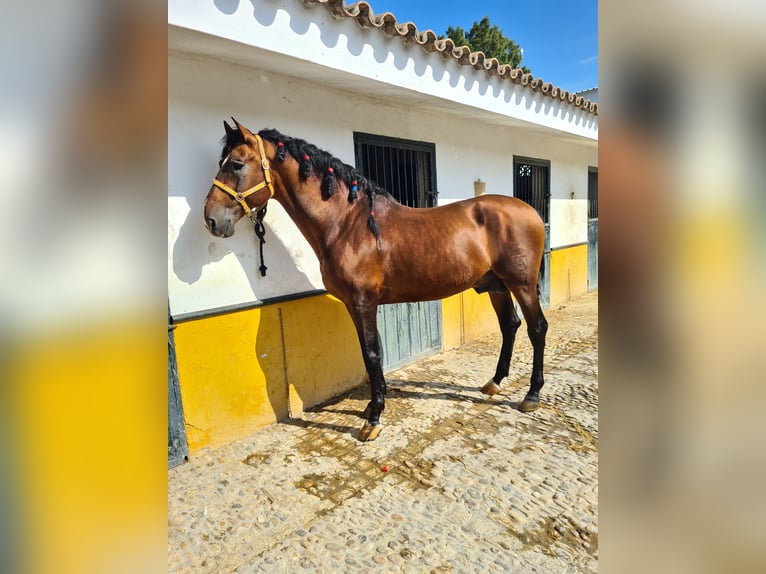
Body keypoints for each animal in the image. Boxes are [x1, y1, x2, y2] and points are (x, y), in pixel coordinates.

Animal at [204, 120, 548, 446]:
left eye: (236, 164)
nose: (211, 219)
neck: (347, 224)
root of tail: (529, 211)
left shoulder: (363, 301)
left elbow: (372, 354)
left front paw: (373, 419)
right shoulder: (353, 305)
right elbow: (365, 353)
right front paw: (371, 407)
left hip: (522, 284)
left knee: (537, 328)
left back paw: (531, 395)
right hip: (497, 285)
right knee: (510, 325)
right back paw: (495, 382)